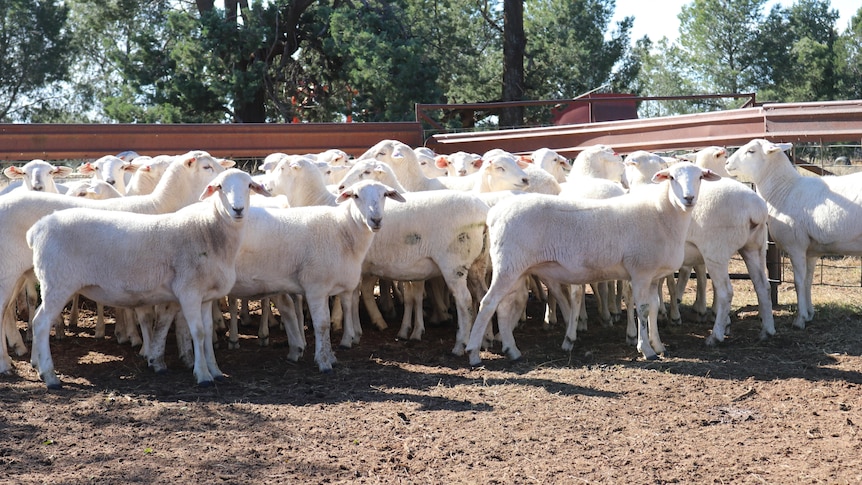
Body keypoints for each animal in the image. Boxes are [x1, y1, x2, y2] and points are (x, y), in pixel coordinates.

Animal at [0, 151, 230, 374]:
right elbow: (148, 315)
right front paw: (147, 350)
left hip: (18, 274)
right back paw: (7, 363)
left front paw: (183, 355)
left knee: (7, 310)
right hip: (10, 270)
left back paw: (20, 351)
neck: (158, 205)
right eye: (207, 166)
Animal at [26, 168, 270, 388]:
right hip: (58, 282)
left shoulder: (207, 296)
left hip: (53, 284)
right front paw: (202, 375)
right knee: (41, 323)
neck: (208, 231)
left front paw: (216, 371)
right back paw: (50, 376)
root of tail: (37, 229)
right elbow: (198, 333)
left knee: (37, 318)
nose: (237, 209)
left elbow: (208, 332)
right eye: (219, 187)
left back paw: (37, 365)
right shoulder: (189, 291)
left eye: (249, 185)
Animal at [466, 161, 724, 364]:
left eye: (700, 177)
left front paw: (659, 345)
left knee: (503, 306)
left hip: (516, 269)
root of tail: (494, 213)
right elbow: (642, 310)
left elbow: (652, 307)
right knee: (488, 303)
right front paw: (646, 350)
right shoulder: (640, 271)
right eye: (671, 177)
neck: (662, 214)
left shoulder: (653, 275)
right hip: (508, 266)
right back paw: (473, 353)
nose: (688, 198)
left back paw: (512, 349)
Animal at [728, 138, 862, 330]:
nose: (726, 163)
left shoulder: (795, 246)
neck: (783, 190)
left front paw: (800, 319)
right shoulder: (811, 251)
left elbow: (798, 282)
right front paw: (809, 313)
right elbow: (808, 280)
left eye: (751, 151)